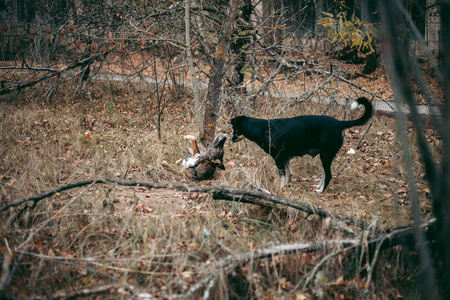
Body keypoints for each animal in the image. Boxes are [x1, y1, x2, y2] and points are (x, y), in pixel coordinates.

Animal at [232, 97, 372, 193]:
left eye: (235, 129)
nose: (231, 139)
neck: (263, 129)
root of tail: (339, 123)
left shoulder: (278, 158)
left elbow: (282, 175)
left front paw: (280, 189)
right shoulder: (285, 157)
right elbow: (288, 174)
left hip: (326, 155)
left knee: (328, 175)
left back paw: (320, 191)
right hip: (325, 155)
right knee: (324, 174)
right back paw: (318, 187)